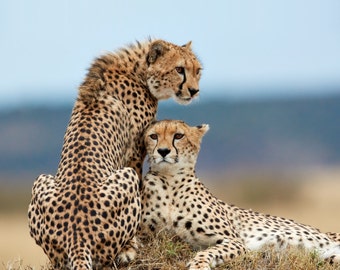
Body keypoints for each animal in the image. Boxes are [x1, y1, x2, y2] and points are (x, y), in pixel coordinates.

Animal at [27, 39, 202, 268]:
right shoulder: (135, 153)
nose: (194, 91)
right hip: (126, 175)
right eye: (179, 69)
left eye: (197, 71)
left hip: (40, 181)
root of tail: (77, 239)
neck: (138, 71)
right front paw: (136, 239)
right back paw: (128, 248)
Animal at [140, 121, 340, 270]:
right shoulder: (149, 237)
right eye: (153, 136)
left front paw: (199, 264)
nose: (163, 151)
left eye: (178, 136)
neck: (169, 182)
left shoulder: (234, 241)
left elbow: (208, 251)